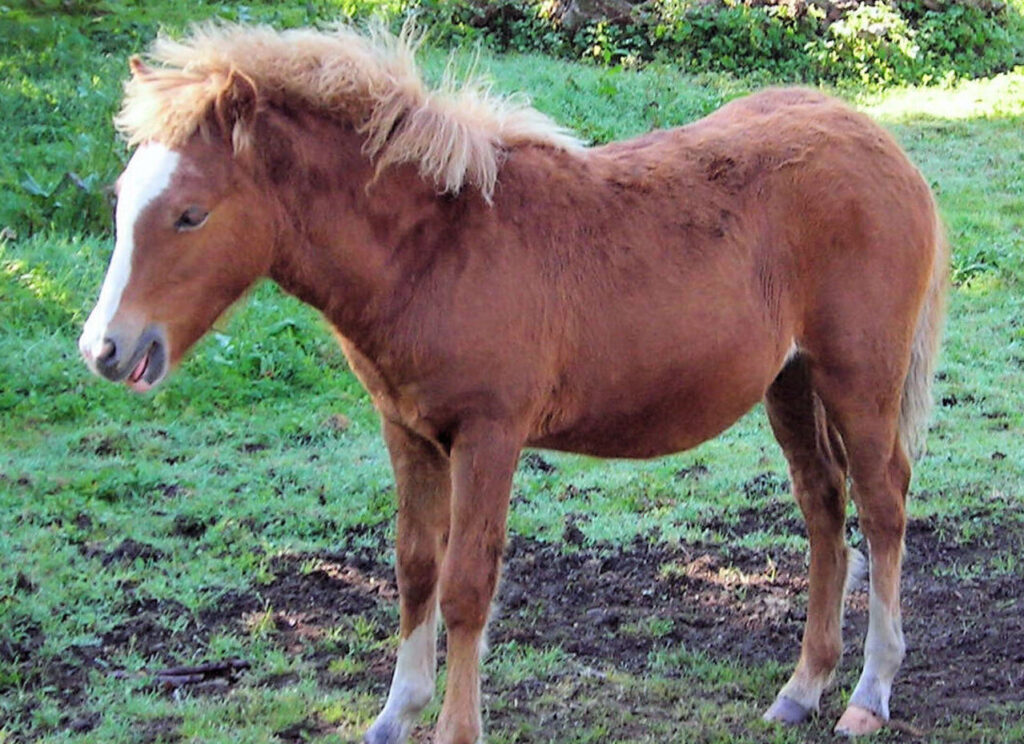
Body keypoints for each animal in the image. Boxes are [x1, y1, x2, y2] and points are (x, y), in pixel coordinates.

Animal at [78, 22, 947, 744]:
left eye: (191, 214)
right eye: (121, 200)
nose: (105, 348)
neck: (435, 249)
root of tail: (886, 148)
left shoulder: (489, 433)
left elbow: (467, 584)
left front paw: (455, 730)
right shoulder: (407, 430)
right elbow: (414, 568)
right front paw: (393, 716)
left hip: (858, 378)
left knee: (883, 508)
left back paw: (868, 695)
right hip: (790, 382)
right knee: (824, 508)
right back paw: (801, 690)